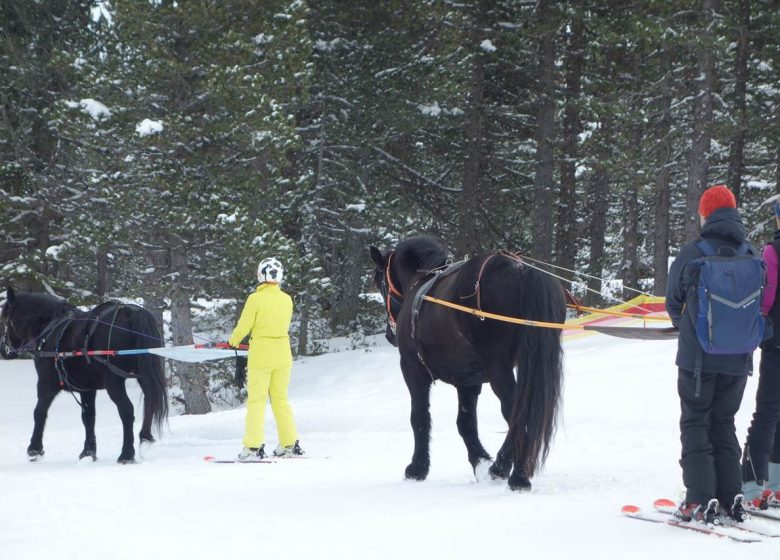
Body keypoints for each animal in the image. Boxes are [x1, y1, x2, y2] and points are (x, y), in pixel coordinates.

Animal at [1, 288, 168, 464]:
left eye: (6, 320)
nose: (3, 350)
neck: (49, 329)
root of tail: (132, 313)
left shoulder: (46, 384)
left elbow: (39, 412)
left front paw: (34, 449)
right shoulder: (87, 389)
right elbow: (88, 417)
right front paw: (88, 452)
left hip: (113, 380)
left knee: (126, 410)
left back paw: (126, 454)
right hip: (143, 375)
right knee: (150, 402)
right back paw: (145, 439)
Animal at [368, 236, 564, 490]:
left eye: (379, 282)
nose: (388, 335)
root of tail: (522, 270)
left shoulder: (413, 370)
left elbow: (419, 418)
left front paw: (417, 468)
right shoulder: (468, 381)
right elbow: (466, 422)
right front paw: (479, 461)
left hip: (499, 369)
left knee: (519, 414)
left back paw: (510, 472)